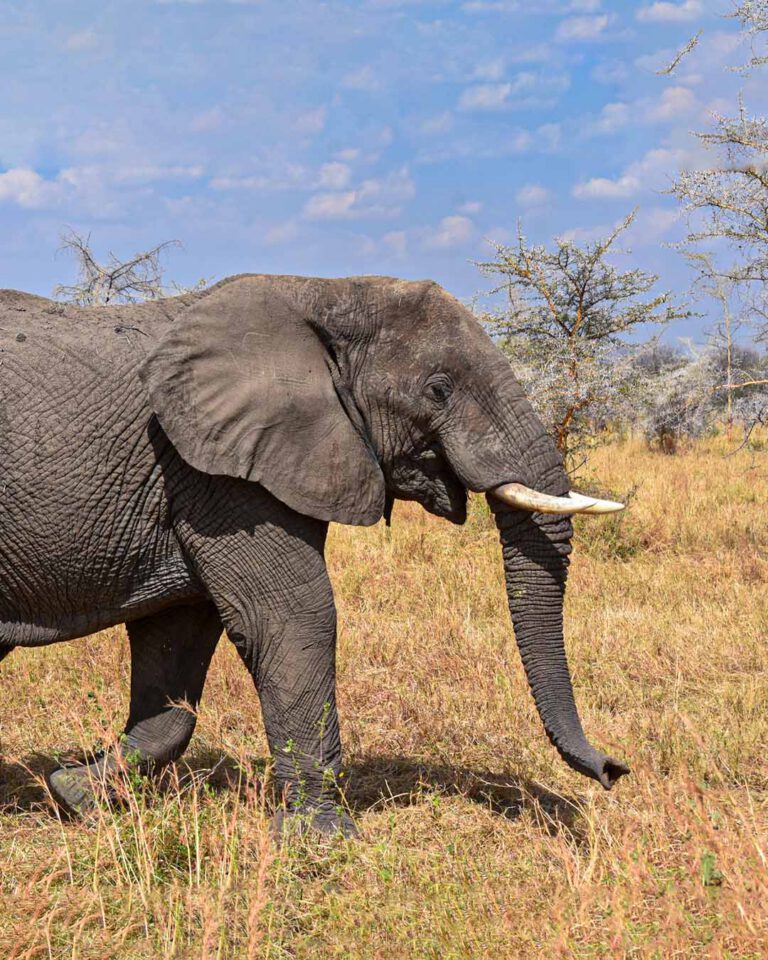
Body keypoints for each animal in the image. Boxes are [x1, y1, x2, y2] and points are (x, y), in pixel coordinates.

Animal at [0, 273, 629, 836]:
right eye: (439, 389)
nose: (614, 770)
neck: (327, 293)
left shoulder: (210, 472)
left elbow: (175, 644)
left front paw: (74, 794)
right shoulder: (224, 474)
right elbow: (293, 619)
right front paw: (324, 839)